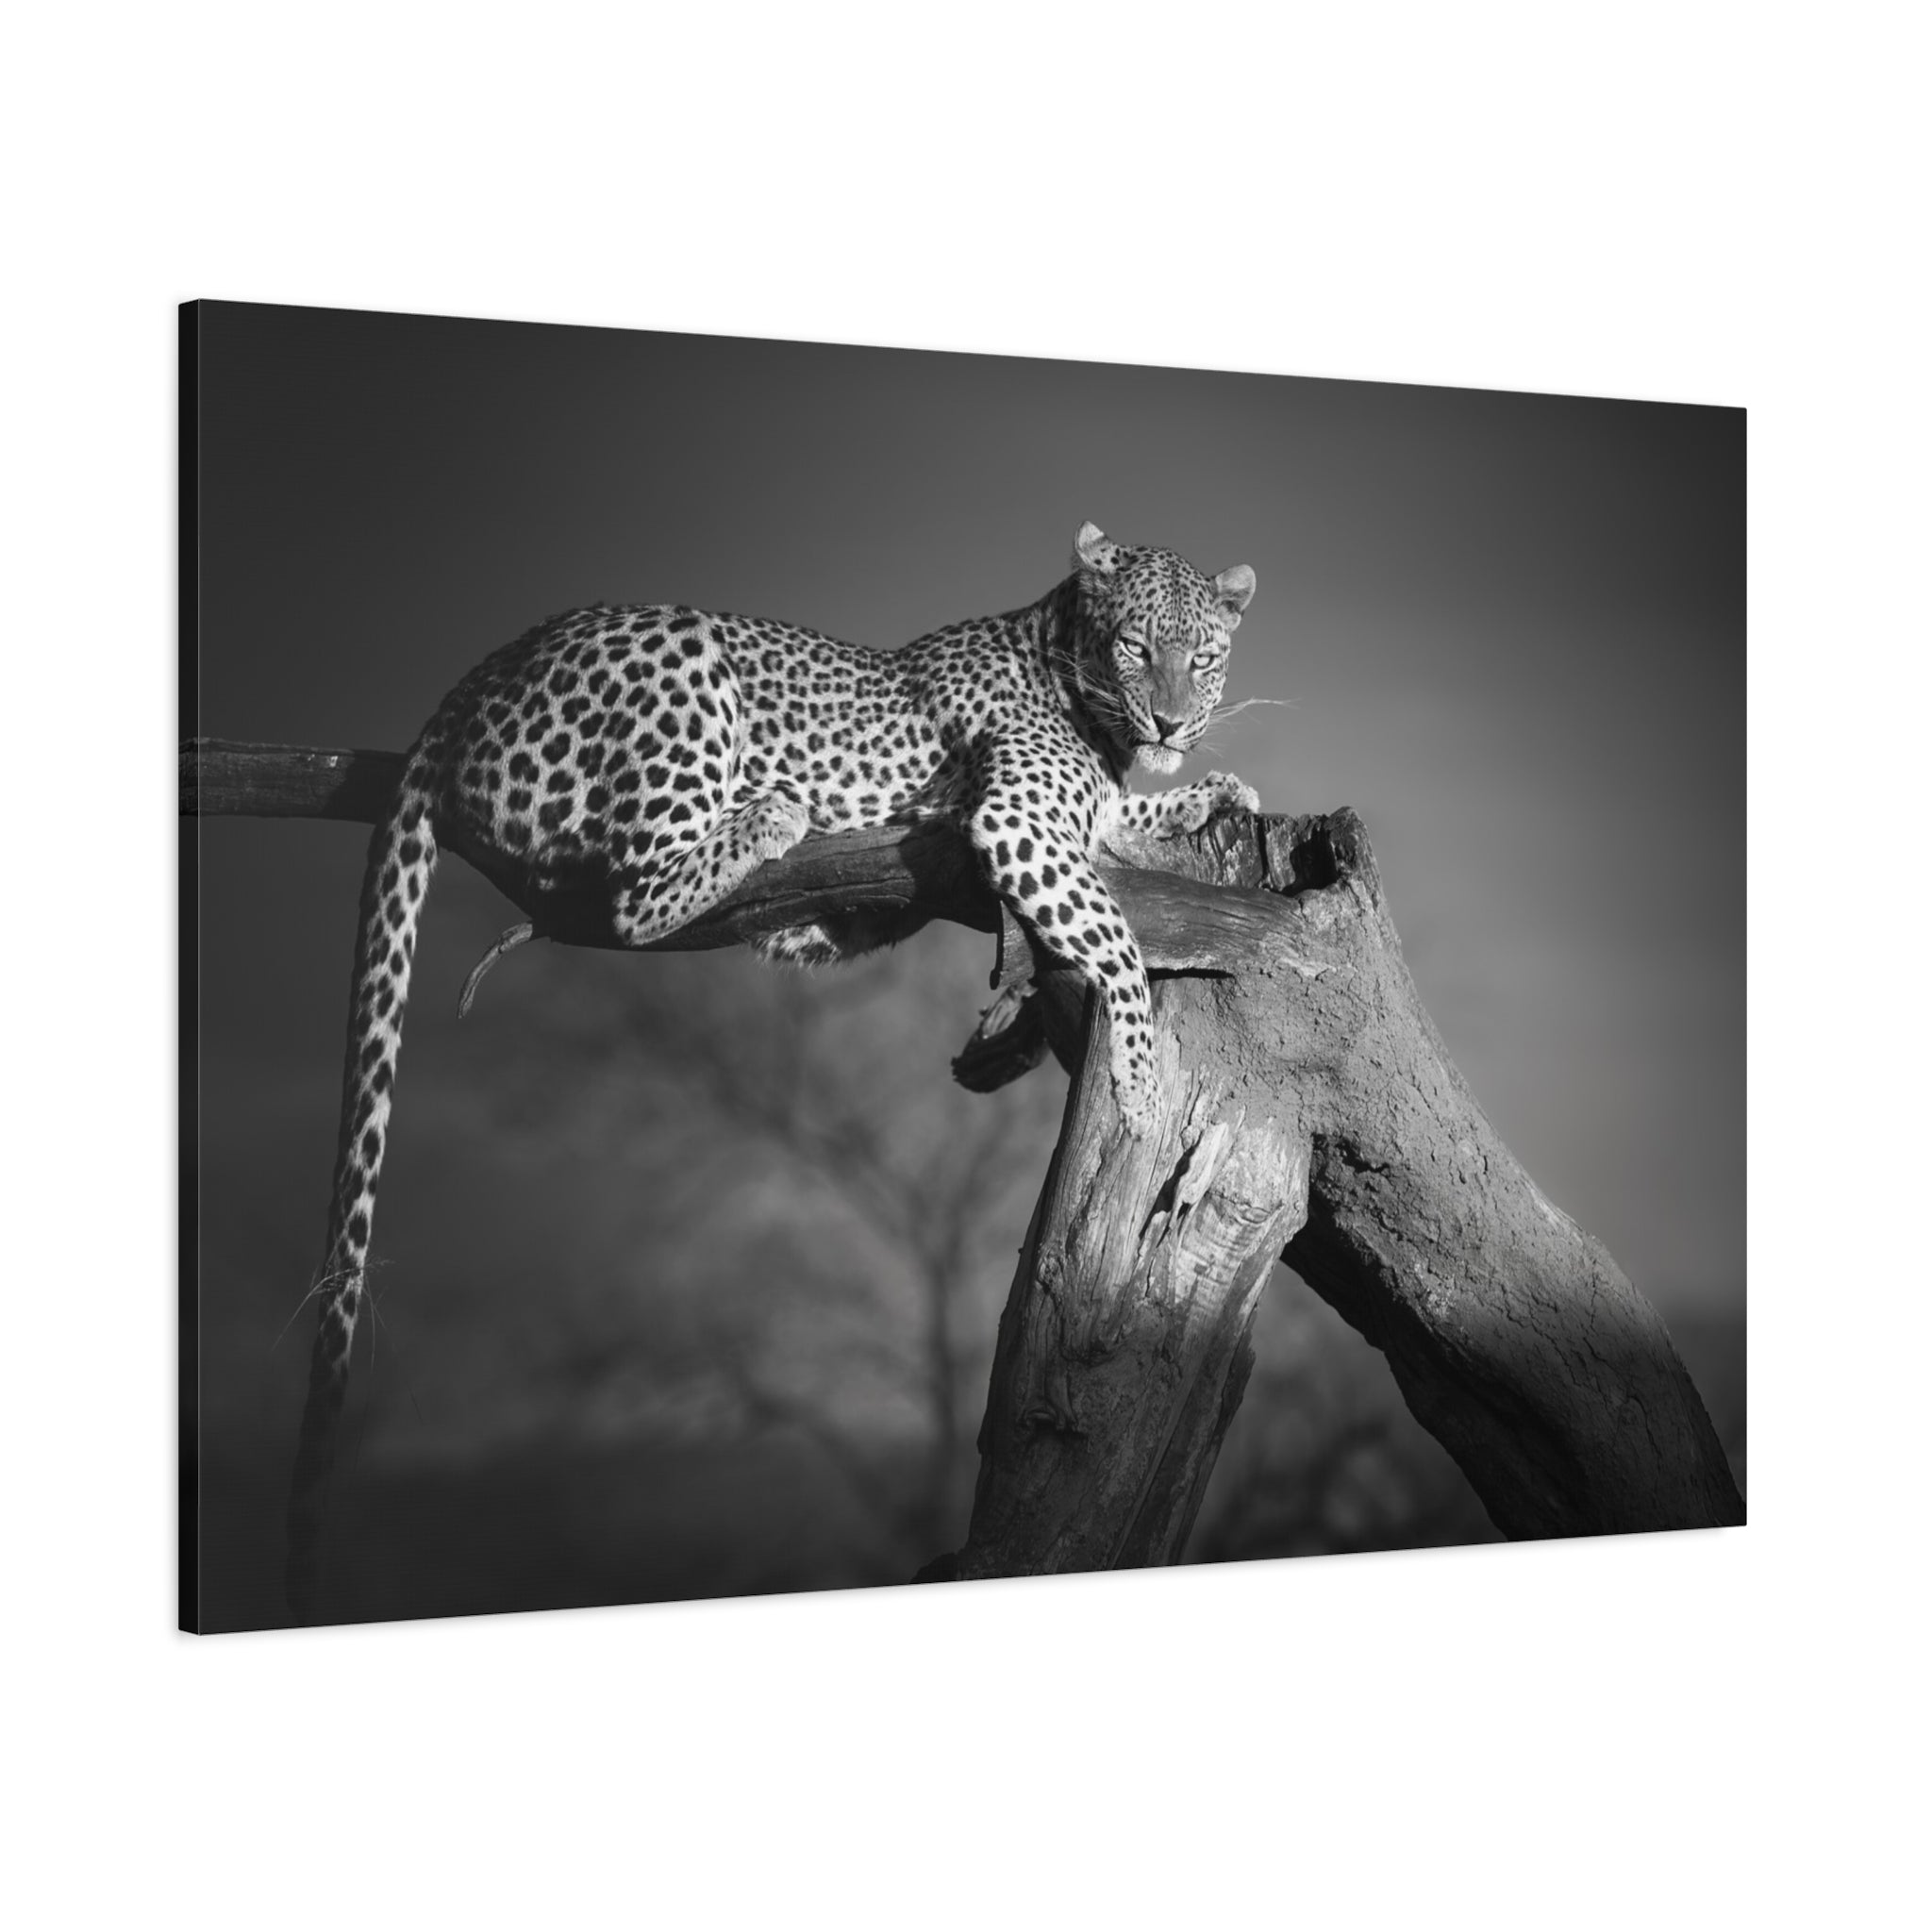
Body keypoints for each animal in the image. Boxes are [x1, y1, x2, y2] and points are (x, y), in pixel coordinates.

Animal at [284, 521, 1258, 1617]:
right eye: (1135, 648)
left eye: (1202, 658)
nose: (1171, 717)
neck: (1076, 681)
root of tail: (470, 682)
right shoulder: (1018, 822)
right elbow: (1119, 941)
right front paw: (1137, 1078)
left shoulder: (1073, 821)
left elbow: (1128, 823)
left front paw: (1212, 791)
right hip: (680, 675)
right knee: (630, 898)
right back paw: (771, 814)